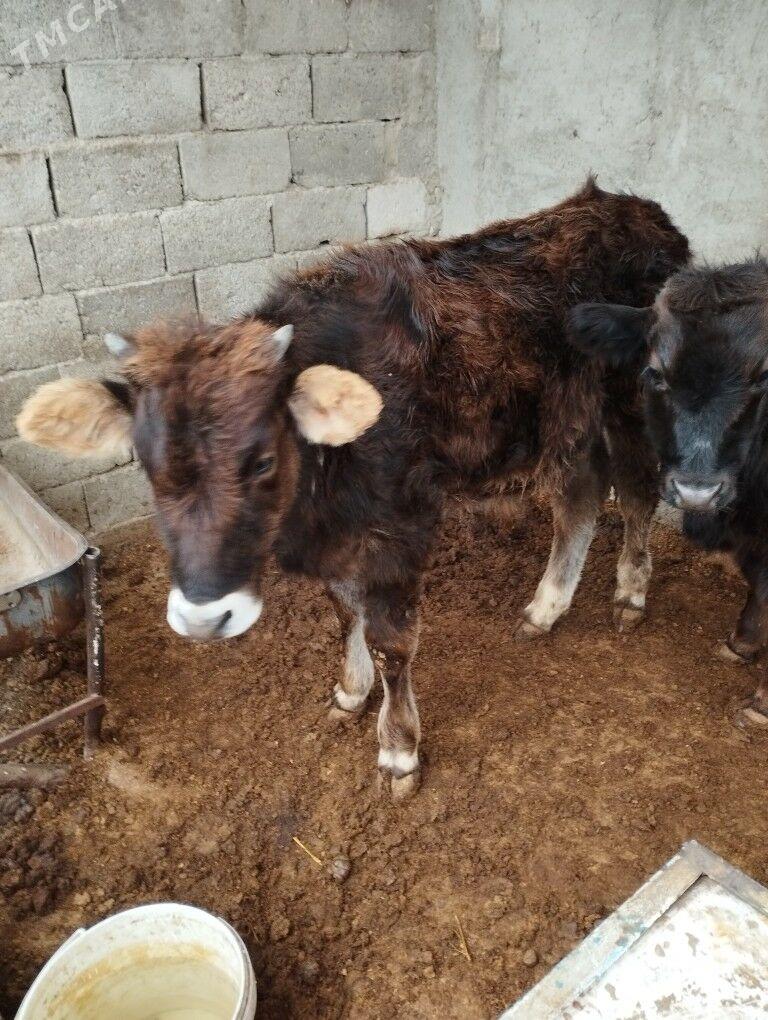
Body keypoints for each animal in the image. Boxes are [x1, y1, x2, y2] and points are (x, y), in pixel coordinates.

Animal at [16, 181, 690, 798]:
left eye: (263, 461)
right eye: (143, 462)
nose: (204, 619)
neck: (316, 500)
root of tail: (642, 212)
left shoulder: (402, 527)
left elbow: (392, 640)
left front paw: (398, 749)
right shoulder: (339, 538)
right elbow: (347, 616)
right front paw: (351, 690)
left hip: (633, 401)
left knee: (635, 492)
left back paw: (630, 594)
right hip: (566, 419)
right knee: (580, 497)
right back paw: (546, 606)